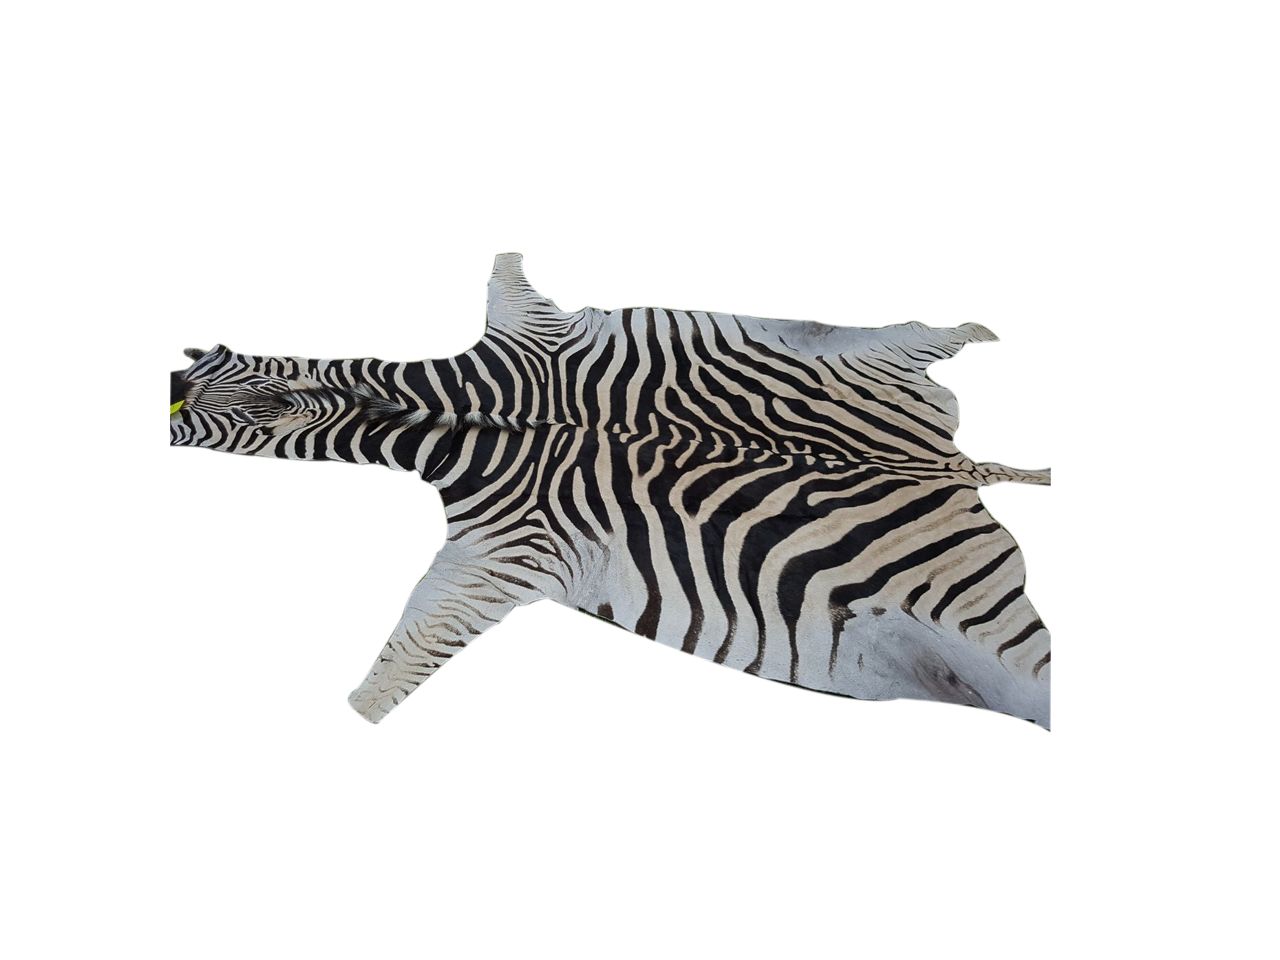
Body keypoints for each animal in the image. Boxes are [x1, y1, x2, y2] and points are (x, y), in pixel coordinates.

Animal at [170, 252, 1052, 729]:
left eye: (187, 415)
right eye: (199, 360)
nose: (169, 378)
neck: (460, 417)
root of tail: (947, 462)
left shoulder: (496, 552)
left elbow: (406, 652)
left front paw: (361, 707)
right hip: (861, 366)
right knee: (923, 342)